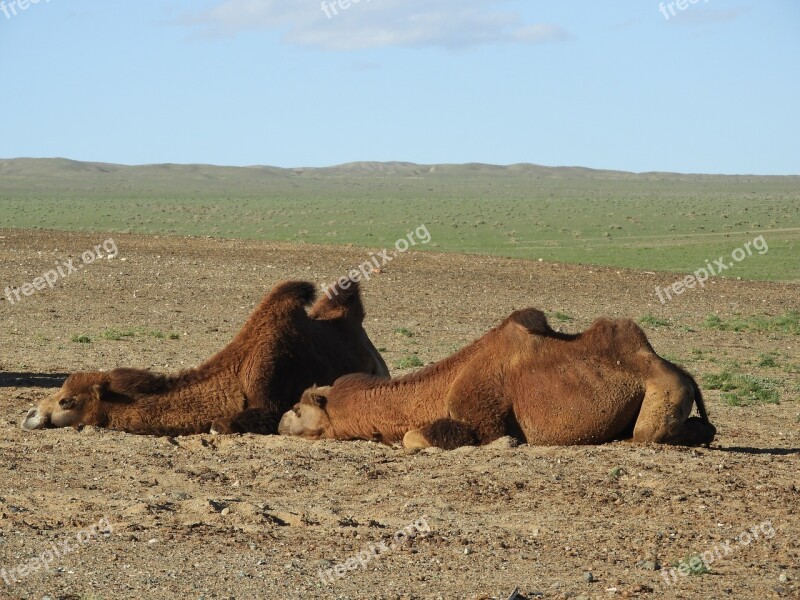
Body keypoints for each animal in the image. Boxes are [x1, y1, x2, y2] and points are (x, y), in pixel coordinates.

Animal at [278, 308, 716, 448]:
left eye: (298, 408)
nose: (279, 421)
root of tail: (684, 373)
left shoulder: (481, 419)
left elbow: (414, 437)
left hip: (663, 393)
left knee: (654, 433)